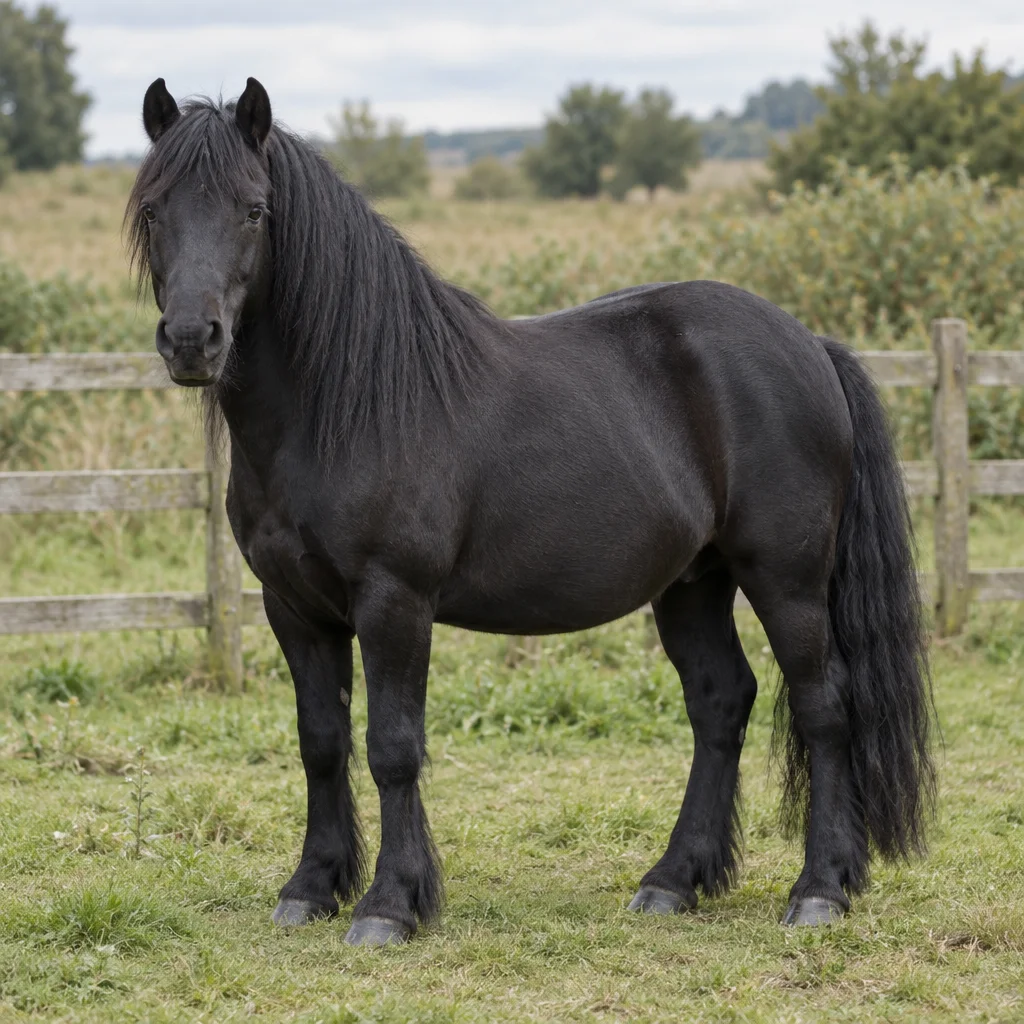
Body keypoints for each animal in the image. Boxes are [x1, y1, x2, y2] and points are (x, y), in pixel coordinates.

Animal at [126, 77, 935, 947]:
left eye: (253, 209)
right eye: (153, 210)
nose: (192, 340)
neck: (343, 405)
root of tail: (812, 344)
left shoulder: (393, 601)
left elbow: (392, 746)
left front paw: (389, 905)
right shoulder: (293, 607)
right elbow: (322, 742)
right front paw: (312, 887)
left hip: (786, 578)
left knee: (825, 708)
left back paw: (819, 890)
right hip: (693, 582)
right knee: (721, 704)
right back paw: (674, 881)